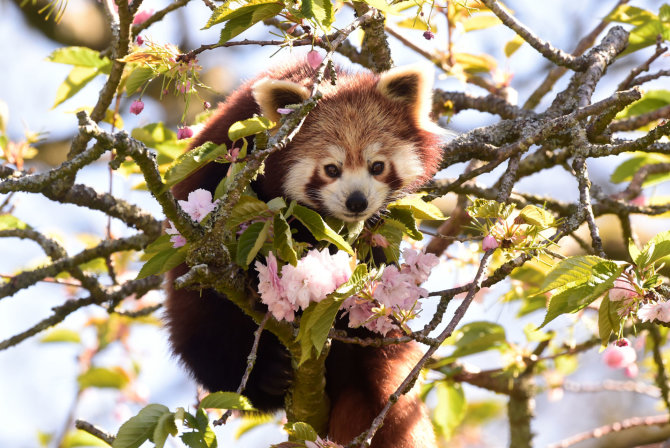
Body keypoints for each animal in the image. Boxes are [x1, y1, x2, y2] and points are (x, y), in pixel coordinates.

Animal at [163, 60, 446, 448]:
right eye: (331, 169)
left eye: (377, 166)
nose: (357, 201)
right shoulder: (228, 150)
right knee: (205, 335)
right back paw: (265, 377)